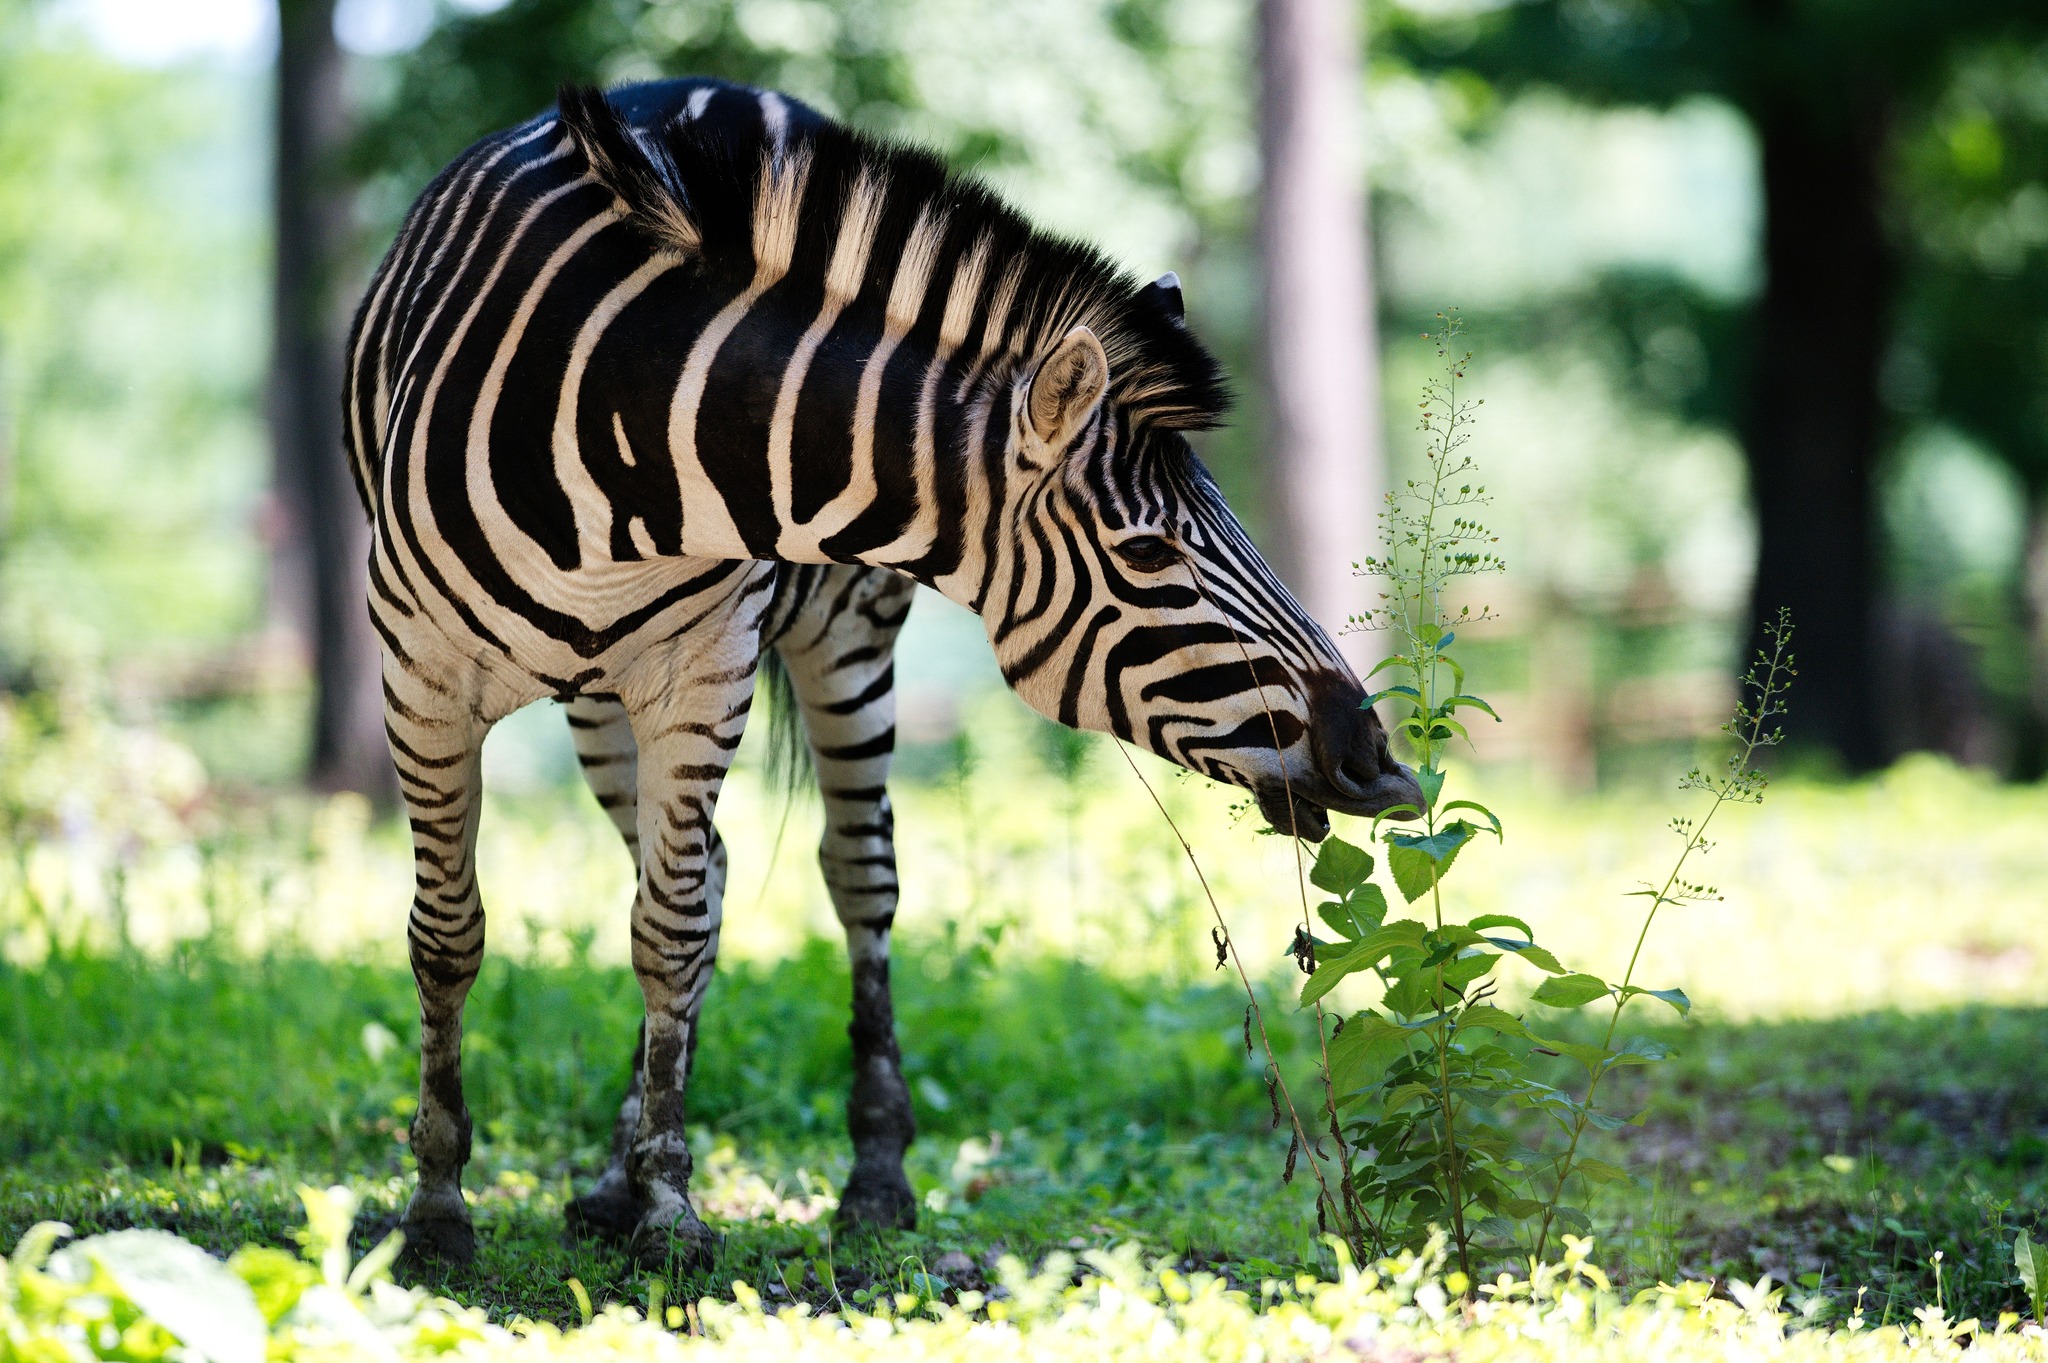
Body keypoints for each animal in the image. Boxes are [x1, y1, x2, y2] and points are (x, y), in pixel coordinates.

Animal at [339, 74, 1425, 1260]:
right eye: (1146, 554)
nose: (1380, 762)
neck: (625, 427)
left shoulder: (703, 672)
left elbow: (668, 933)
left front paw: (667, 1207)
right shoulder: (420, 676)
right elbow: (448, 934)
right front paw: (438, 1205)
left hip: (843, 639)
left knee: (849, 880)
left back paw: (865, 1177)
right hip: (600, 702)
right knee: (709, 873)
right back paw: (612, 1175)